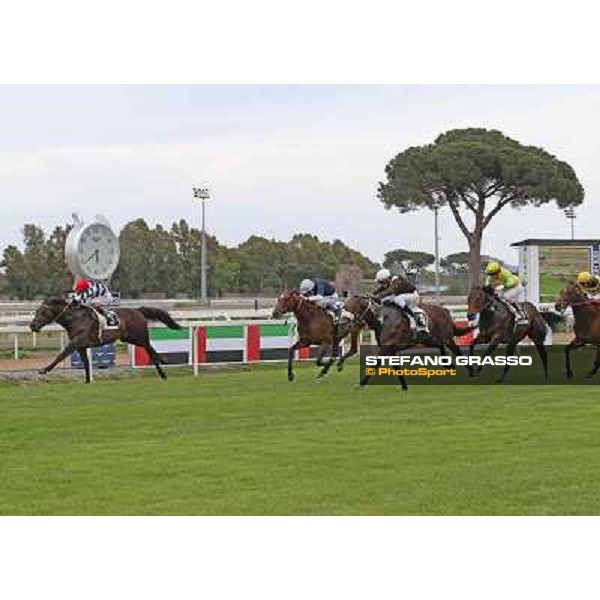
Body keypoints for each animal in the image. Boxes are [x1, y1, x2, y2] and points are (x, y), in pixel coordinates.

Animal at [29, 300, 183, 384]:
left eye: (43, 312)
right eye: (36, 311)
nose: (32, 326)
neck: (76, 319)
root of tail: (138, 311)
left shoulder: (76, 342)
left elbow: (61, 355)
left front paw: (44, 370)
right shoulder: (81, 346)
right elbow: (86, 363)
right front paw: (87, 381)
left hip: (138, 336)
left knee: (149, 348)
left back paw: (163, 368)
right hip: (129, 338)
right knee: (149, 347)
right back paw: (163, 366)